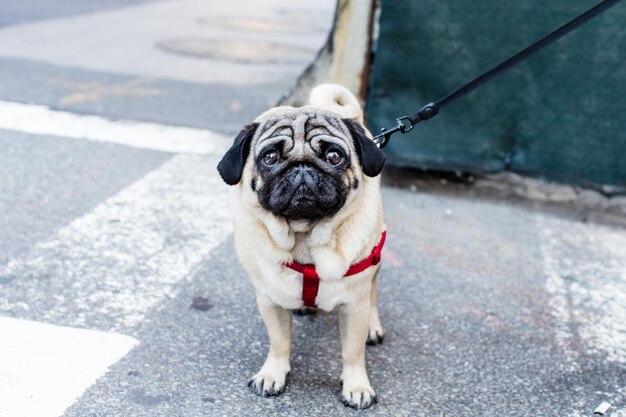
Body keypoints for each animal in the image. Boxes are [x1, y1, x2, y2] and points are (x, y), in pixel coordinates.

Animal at [216, 83, 386, 408]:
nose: (302, 167)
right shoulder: (268, 299)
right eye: (270, 157)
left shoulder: (354, 305)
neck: (305, 238)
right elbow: (279, 341)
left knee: (373, 291)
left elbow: (352, 350)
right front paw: (272, 374)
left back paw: (373, 326)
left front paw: (357, 386)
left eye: (334, 156)